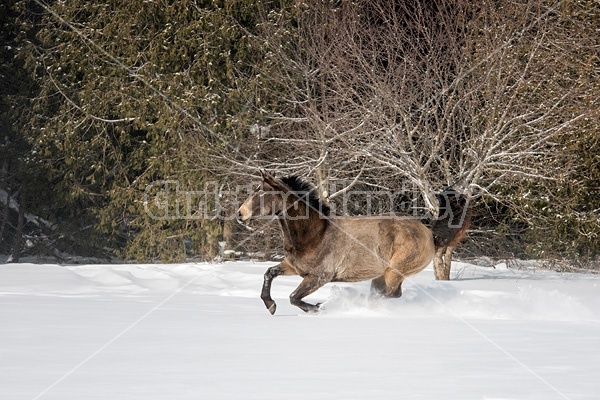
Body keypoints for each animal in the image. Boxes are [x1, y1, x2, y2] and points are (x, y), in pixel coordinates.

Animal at [236, 173, 468, 314]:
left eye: (262, 192)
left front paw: (319, 307)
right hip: (381, 276)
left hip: (394, 272)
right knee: (386, 294)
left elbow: (293, 297)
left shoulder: (320, 276)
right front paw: (271, 305)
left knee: (392, 294)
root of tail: (428, 232)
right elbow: (269, 273)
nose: (240, 214)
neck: (315, 233)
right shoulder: (294, 267)